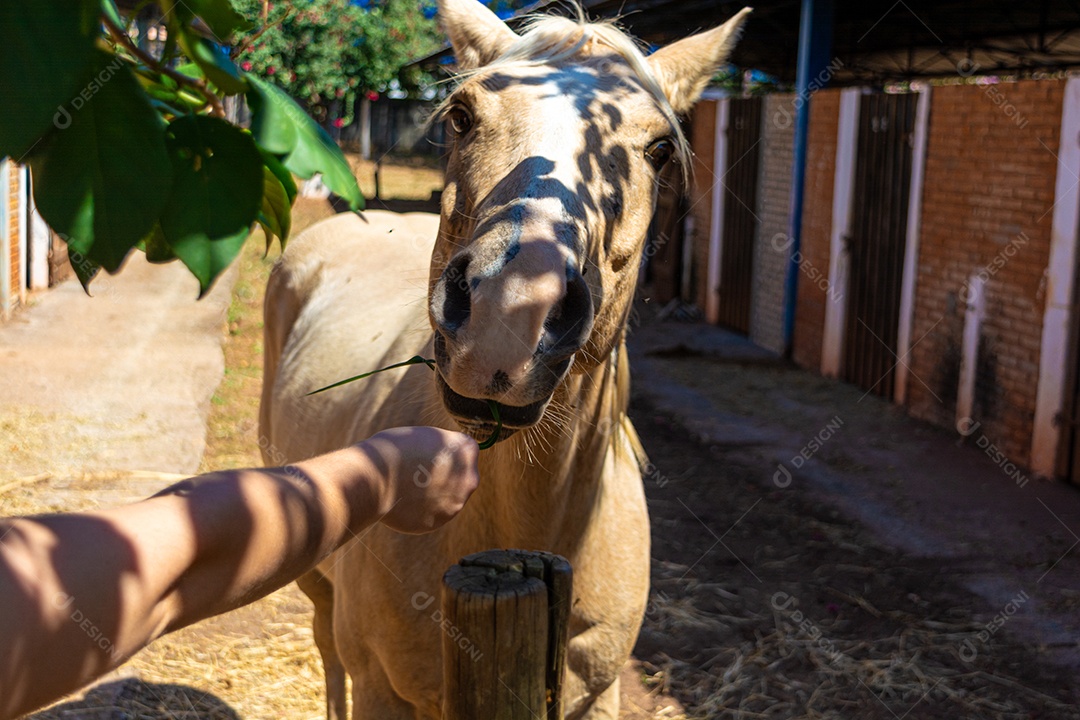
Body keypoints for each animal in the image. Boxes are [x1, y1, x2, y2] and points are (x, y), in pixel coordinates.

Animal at [258, 1, 749, 717]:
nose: (508, 315)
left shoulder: (599, 693)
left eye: (659, 148)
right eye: (462, 115)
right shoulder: (382, 688)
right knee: (327, 653)